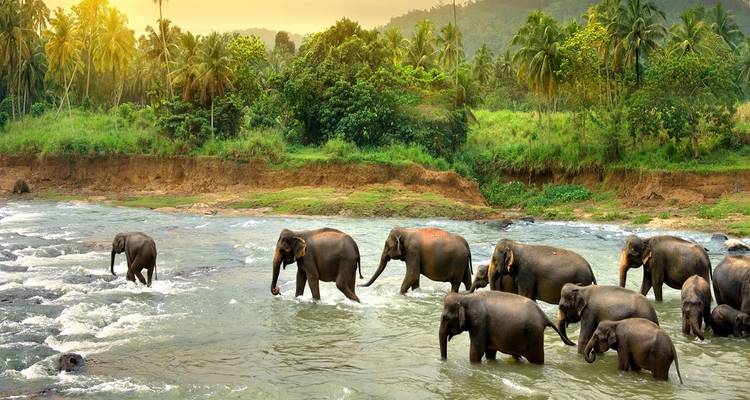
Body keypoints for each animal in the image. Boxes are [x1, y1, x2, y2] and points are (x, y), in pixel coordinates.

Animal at [439, 291, 574, 363]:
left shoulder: (479, 322)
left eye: (446, 318)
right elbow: (489, 351)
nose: (444, 361)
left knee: (537, 360)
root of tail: (544, 317)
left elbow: (477, 351)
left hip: (534, 334)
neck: (464, 297)